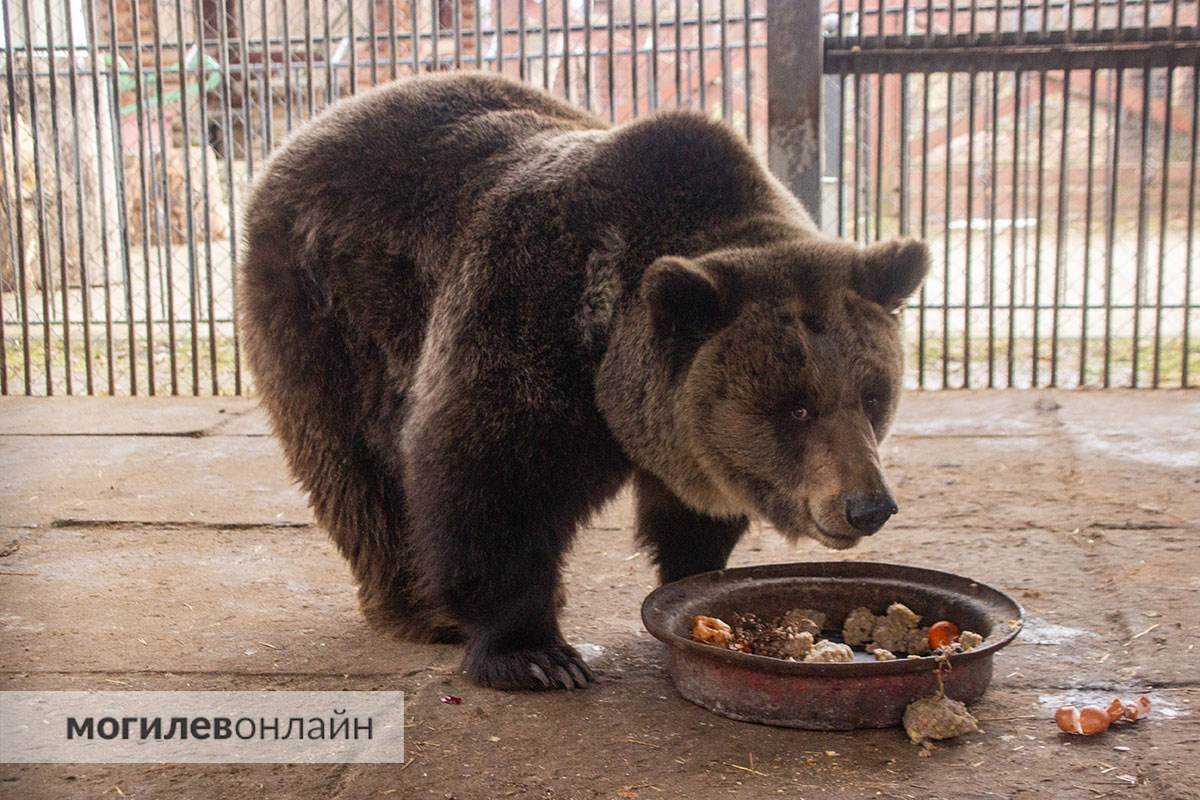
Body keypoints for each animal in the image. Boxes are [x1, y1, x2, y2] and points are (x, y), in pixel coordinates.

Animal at [236, 71, 926, 690]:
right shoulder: (530, 318)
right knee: (356, 466)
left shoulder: (676, 426)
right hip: (330, 314)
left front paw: (694, 574)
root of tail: (307, 130)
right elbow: (489, 476)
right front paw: (533, 653)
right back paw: (418, 606)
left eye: (873, 396)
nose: (867, 505)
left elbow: (690, 512)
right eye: (798, 407)